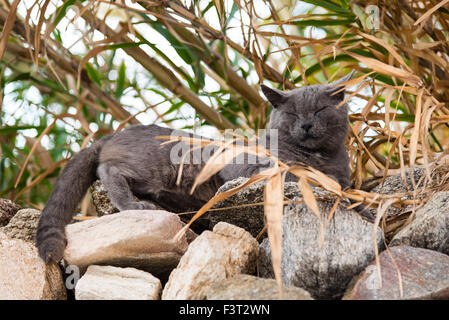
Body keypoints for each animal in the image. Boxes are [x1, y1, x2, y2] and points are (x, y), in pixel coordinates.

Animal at [36, 73, 354, 262]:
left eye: (321, 110)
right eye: (293, 114)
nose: (307, 124)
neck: (320, 157)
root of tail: (113, 135)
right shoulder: (254, 170)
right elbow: (304, 177)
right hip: (159, 166)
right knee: (109, 170)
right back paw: (134, 204)